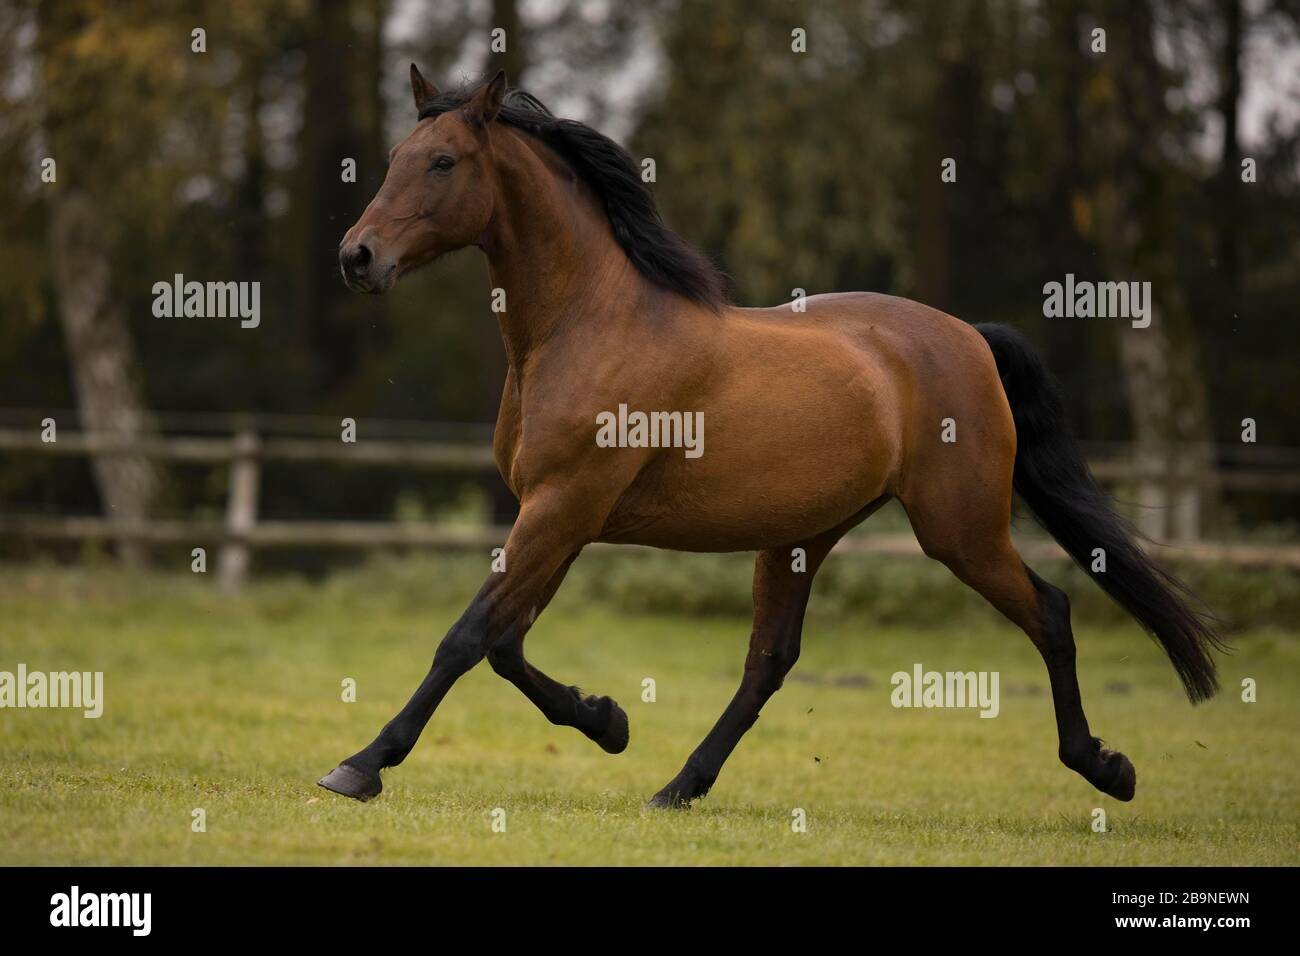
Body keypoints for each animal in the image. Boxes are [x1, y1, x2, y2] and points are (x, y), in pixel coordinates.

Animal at [319, 67, 1222, 811]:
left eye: (442, 162)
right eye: (397, 156)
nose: (357, 258)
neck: (587, 324)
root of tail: (970, 337)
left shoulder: (563, 505)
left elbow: (466, 637)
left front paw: (361, 765)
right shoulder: (562, 516)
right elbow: (505, 643)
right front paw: (608, 720)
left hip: (959, 529)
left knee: (1052, 611)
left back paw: (1105, 767)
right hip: (803, 535)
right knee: (769, 662)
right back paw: (679, 786)